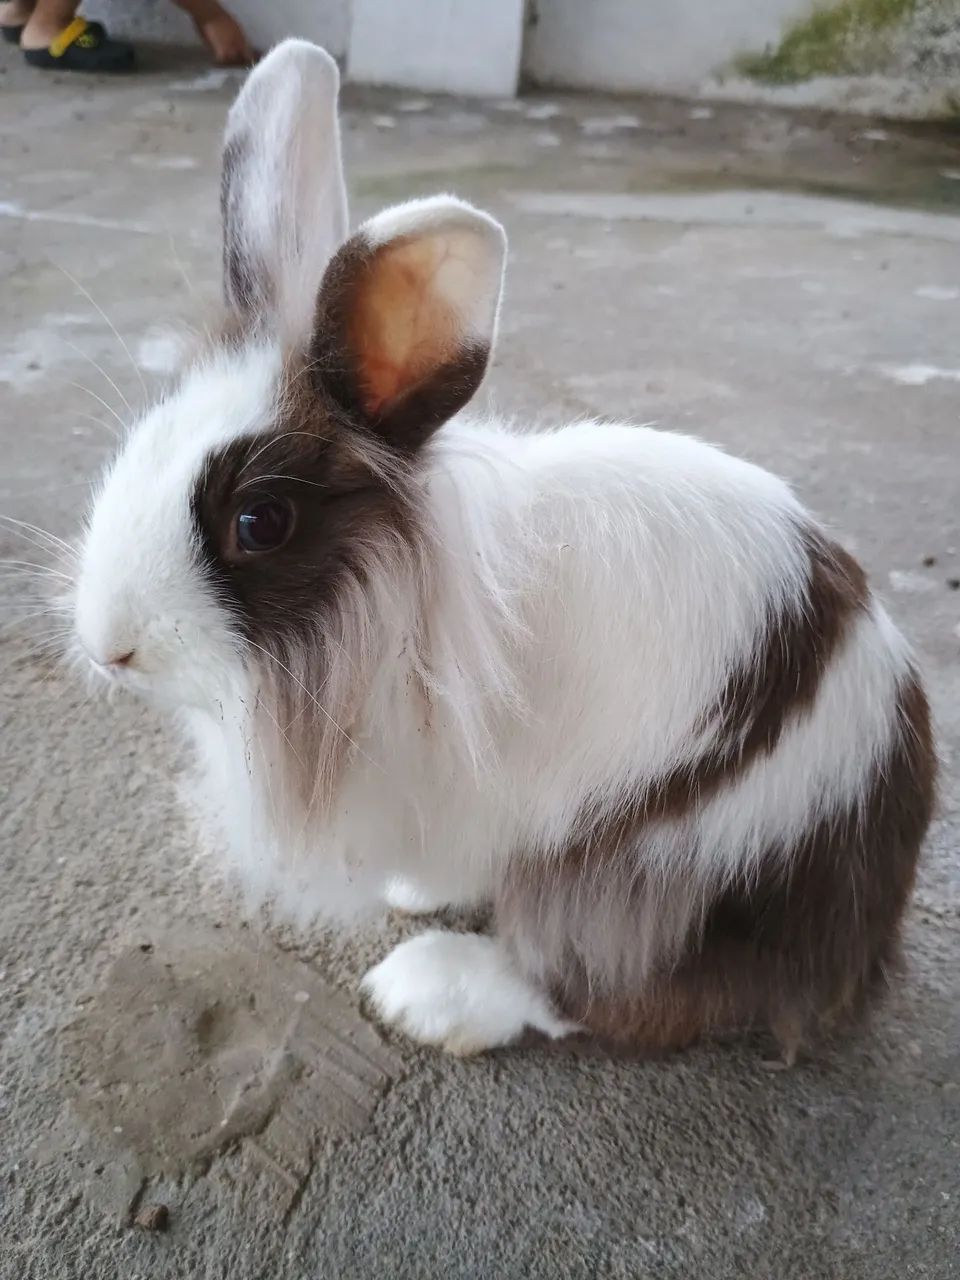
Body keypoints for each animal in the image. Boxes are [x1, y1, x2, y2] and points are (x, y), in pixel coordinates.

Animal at [71, 39, 935, 1063]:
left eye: (259, 524)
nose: (109, 646)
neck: (385, 606)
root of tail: (865, 933)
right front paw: (416, 889)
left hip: (657, 872)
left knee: (608, 989)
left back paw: (428, 994)